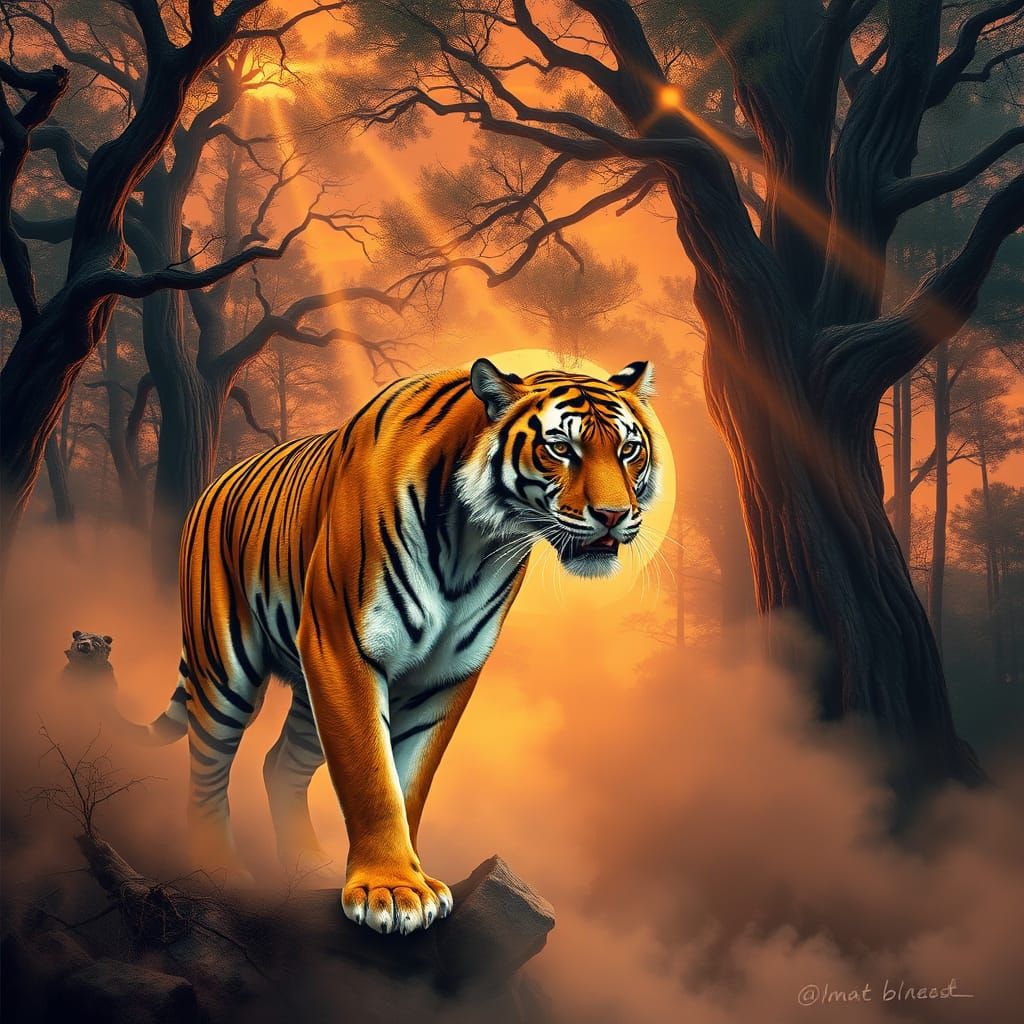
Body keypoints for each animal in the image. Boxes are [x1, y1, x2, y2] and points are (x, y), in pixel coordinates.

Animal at [129, 357, 660, 935]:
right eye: (561, 447)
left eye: (628, 450)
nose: (614, 515)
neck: (475, 542)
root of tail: (213, 484)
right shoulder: (344, 648)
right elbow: (372, 777)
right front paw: (389, 889)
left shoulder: (445, 673)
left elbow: (411, 780)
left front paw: (411, 879)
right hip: (226, 668)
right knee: (206, 766)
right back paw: (219, 866)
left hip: (309, 696)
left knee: (279, 763)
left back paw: (305, 860)